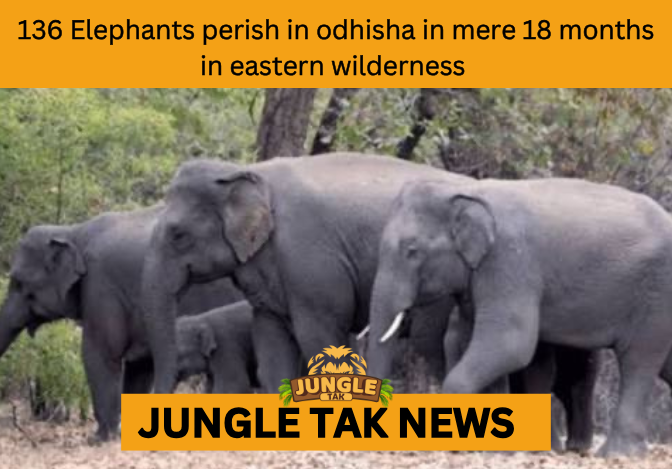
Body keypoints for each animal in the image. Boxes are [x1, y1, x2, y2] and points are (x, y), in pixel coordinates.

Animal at [0, 206, 243, 441]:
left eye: (18, 282)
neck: (72, 232)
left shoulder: (101, 287)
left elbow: (100, 353)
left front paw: (99, 439)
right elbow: (139, 366)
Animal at [141, 152, 472, 395]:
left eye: (178, 235)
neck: (248, 173)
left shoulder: (310, 263)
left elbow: (318, 338)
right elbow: (271, 346)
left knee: (428, 341)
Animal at [367, 178, 672, 457]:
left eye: (412, 251)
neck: (466, 189)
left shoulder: (509, 261)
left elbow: (510, 344)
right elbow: (476, 342)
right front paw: (498, 449)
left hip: (656, 295)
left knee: (638, 360)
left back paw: (617, 454)